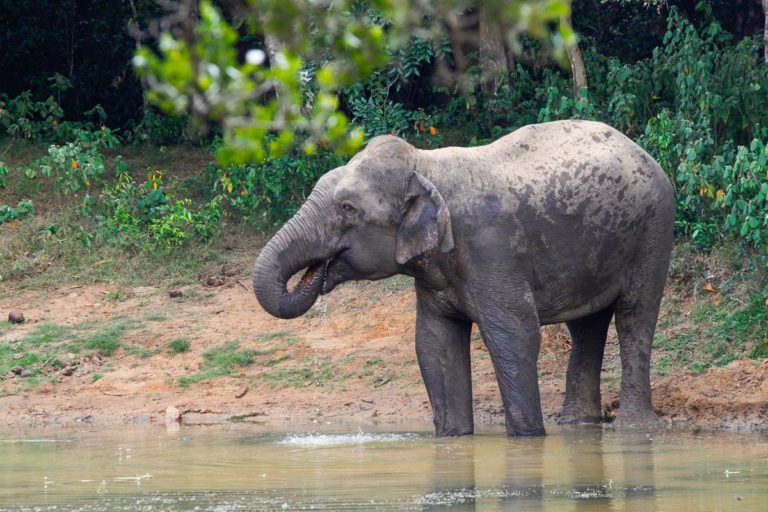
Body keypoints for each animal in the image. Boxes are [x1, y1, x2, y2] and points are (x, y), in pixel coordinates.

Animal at [252, 120, 672, 436]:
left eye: (347, 208)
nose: (319, 272)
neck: (425, 164)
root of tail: (641, 150)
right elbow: (434, 342)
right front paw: (454, 437)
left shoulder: (492, 248)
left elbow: (514, 334)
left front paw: (528, 438)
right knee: (587, 326)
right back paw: (577, 425)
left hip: (652, 232)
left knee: (635, 315)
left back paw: (635, 429)